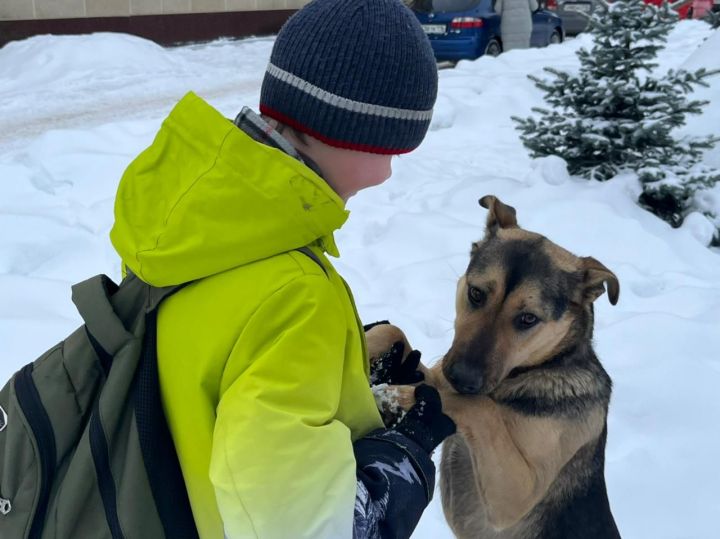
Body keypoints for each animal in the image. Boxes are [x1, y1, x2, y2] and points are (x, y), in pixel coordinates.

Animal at [374, 196, 620, 536]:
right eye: (476, 293)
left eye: (528, 319)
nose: (461, 378)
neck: (530, 371)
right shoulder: (438, 374)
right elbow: (393, 332)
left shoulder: (517, 494)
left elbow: (480, 409)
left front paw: (396, 396)